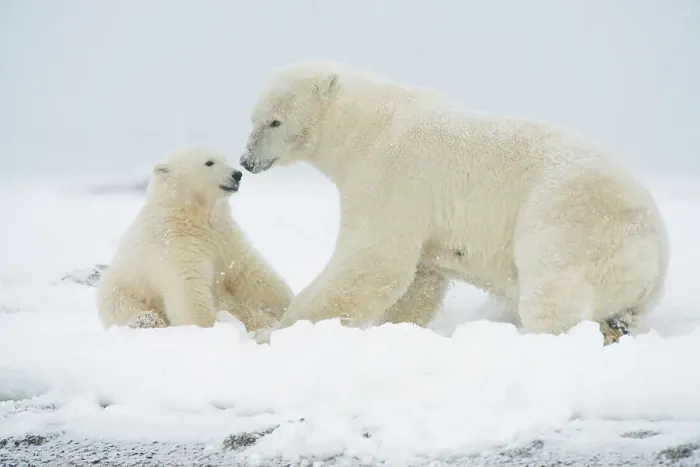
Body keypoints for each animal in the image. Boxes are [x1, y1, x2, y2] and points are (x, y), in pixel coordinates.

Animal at [97, 147, 294, 332]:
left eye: (225, 159)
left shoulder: (225, 236)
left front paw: (288, 303)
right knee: (122, 307)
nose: (237, 174)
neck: (192, 217)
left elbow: (251, 272)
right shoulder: (174, 243)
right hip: (120, 290)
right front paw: (206, 327)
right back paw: (147, 321)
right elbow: (189, 284)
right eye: (209, 162)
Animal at [240, 61, 669, 345]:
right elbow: (418, 279)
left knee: (551, 299)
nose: (247, 161)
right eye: (253, 118)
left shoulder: (393, 175)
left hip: (571, 225)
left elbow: (373, 260)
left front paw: (279, 329)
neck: (365, 126)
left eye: (275, 121)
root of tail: (657, 248)